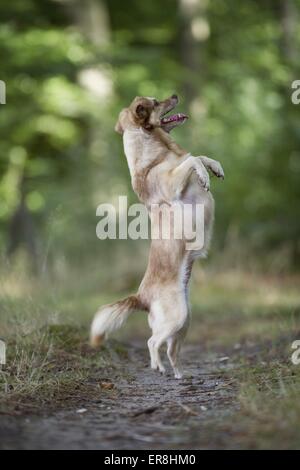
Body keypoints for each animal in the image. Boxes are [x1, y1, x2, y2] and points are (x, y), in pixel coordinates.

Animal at [90, 94, 224, 378]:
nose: (174, 95)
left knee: (170, 349)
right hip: (177, 317)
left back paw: (179, 374)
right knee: (152, 342)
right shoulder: (173, 184)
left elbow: (199, 156)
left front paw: (215, 168)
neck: (159, 151)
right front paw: (204, 175)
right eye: (155, 102)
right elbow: (192, 159)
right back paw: (158, 367)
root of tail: (141, 298)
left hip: (184, 323)